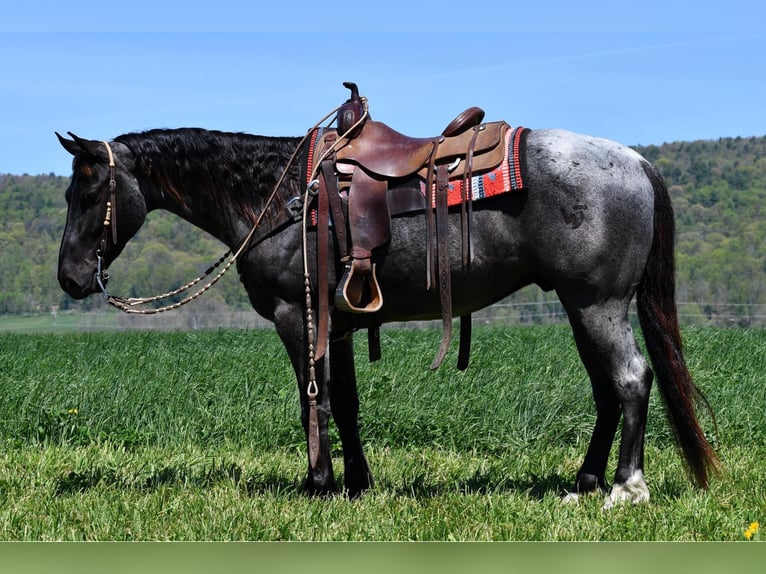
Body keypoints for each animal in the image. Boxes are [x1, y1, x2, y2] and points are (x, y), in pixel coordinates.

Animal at [55, 104, 720, 508]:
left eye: (91, 190)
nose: (70, 278)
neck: (279, 196)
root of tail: (636, 161)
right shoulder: (342, 323)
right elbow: (346, 404)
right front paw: (356, 484)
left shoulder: (299, 317)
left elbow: (314, 402)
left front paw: (318, 485)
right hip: (582, 307)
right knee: (608, 390)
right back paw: (582, 484)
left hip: (598, 304)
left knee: (631, 380)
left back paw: (626, 488)